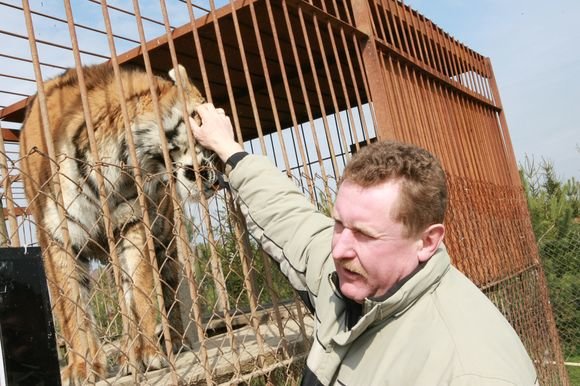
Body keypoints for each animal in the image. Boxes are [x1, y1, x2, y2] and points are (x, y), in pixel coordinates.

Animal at [18, 62, 219, 382]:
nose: (216, 178)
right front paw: (81, 368)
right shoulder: (58, 237)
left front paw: (149, 355)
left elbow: (140, 294)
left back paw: (166, 345)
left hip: (165, 244)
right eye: (203, 121)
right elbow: (73, 308)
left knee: (167, 293)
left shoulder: (132, 224)